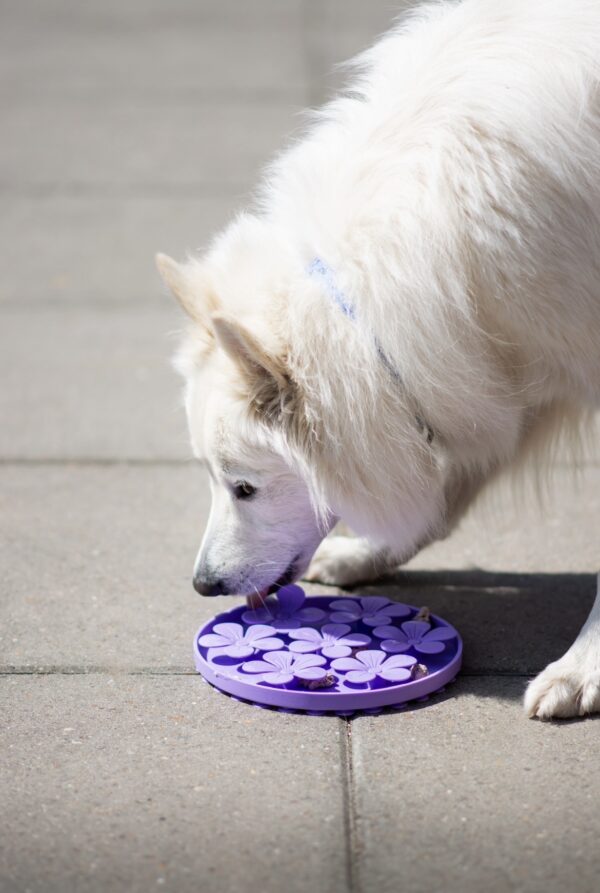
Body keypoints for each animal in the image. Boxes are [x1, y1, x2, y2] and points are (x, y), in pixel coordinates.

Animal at [156, 0, 600, 716]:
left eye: (244, 487)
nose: (202, 586)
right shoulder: (505, 362)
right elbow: (448, 482)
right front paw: (369, 552)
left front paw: (583, 667)